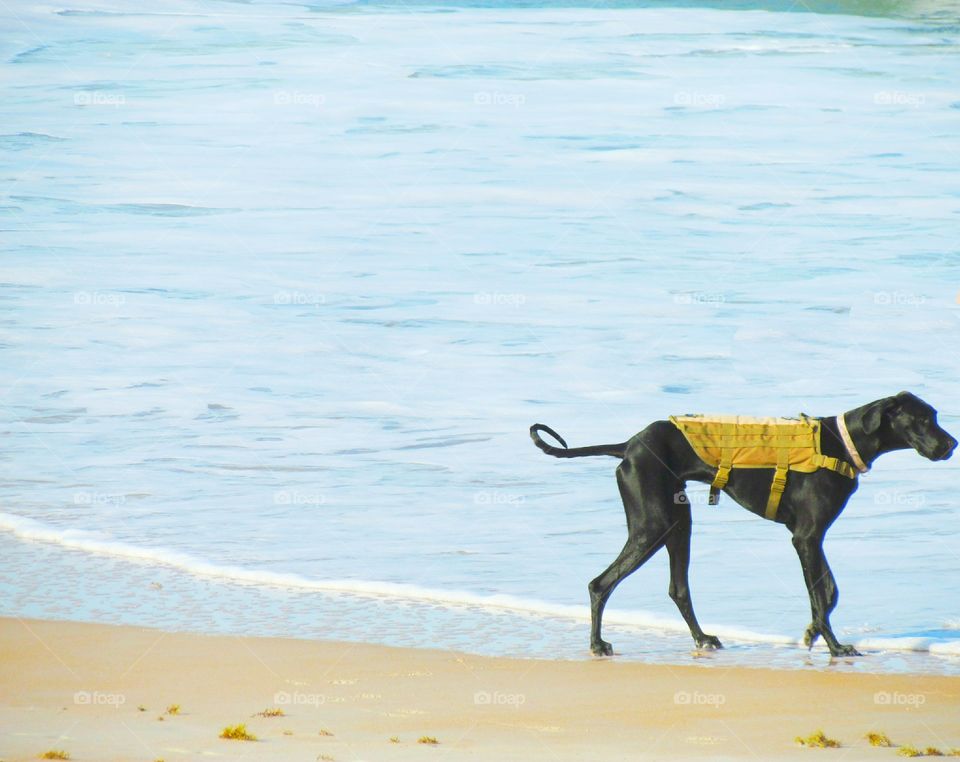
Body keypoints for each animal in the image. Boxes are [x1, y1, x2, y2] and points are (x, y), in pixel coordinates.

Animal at [528, 388, 956, 656]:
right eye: (923, 419)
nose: (952, 445)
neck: (842, 443)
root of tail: (629, 444)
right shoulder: (806, 537)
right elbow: (821, 596)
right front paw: (834, 646)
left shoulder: (811, 539)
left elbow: (829, 591)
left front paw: (812, 633)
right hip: (653, 525)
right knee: (601, 584)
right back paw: (598, 645)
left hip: (678, 523)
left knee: (678, 589)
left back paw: (702, 638)